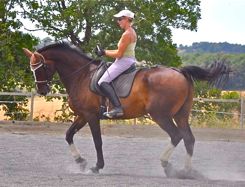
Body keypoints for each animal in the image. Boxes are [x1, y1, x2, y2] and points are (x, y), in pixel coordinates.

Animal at [23, 41, 230, 176]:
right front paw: (80, 162)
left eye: (40, 67)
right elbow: (68, 135)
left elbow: (97, 141)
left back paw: (167, 165)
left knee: (176, 136)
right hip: (181, 115)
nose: (42, 90)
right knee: (188, 139)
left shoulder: (91, 116)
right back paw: (186, 171)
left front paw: (97, 166)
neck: (81, 75)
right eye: (32, 69)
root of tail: (180, 71)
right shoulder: (82, 115)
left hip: (160, 115)